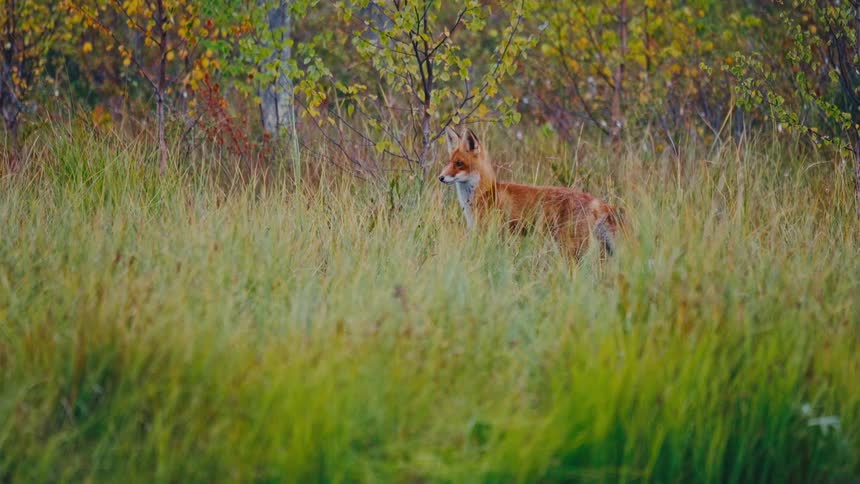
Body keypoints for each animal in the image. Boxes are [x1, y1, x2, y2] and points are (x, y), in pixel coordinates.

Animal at [438, 127, 623, 260]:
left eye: (459, 163)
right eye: (449, 162)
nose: (440, 177)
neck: (486, 193)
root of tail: (595, 201)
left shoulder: (490, 234)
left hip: (570, 247)